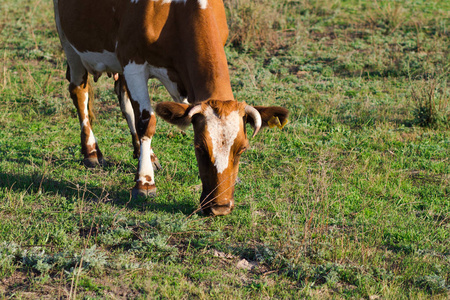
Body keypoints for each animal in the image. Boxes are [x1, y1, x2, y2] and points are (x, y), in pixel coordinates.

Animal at [52, 0, 288, 216]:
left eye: (242, 149)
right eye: (199, 148)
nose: (220, 207)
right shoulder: (133, 63)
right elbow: (146, 122)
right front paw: (145, 182)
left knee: (123, 98)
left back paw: (144, 153)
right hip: (68, 42)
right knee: (79, 92)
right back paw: (91, 151)